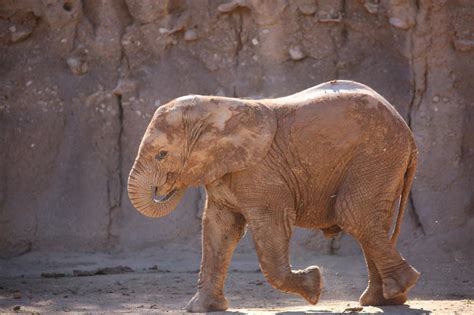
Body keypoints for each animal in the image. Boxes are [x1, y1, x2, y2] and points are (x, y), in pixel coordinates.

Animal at [129, 80, 418, 312]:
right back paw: (384, 300)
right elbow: (218, 229)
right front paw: (202, 309)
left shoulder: (261, 172)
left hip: (377, 156)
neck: (214, 107)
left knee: (355, 215)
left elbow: (271, 224)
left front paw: (314, 285)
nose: (165, 187)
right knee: (371, 222)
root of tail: (409, 132)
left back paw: (398, 288)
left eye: (162, 155)